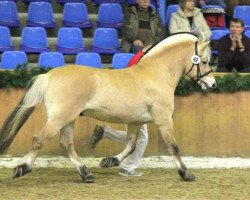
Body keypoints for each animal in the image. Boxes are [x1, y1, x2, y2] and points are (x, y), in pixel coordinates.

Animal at [0, 32, 216, 183]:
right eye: (204, 61)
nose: (212, 84)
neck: (155, 75)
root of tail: (49, 75)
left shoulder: (135, 122)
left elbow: (131, 145)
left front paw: (110, 161)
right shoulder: (164, 120)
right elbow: (173, 146)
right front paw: (186, 173)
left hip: (68, 119)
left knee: (66, 143)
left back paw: (86, 174)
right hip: (59, 118)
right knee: (39, 139)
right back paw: (22, 168)